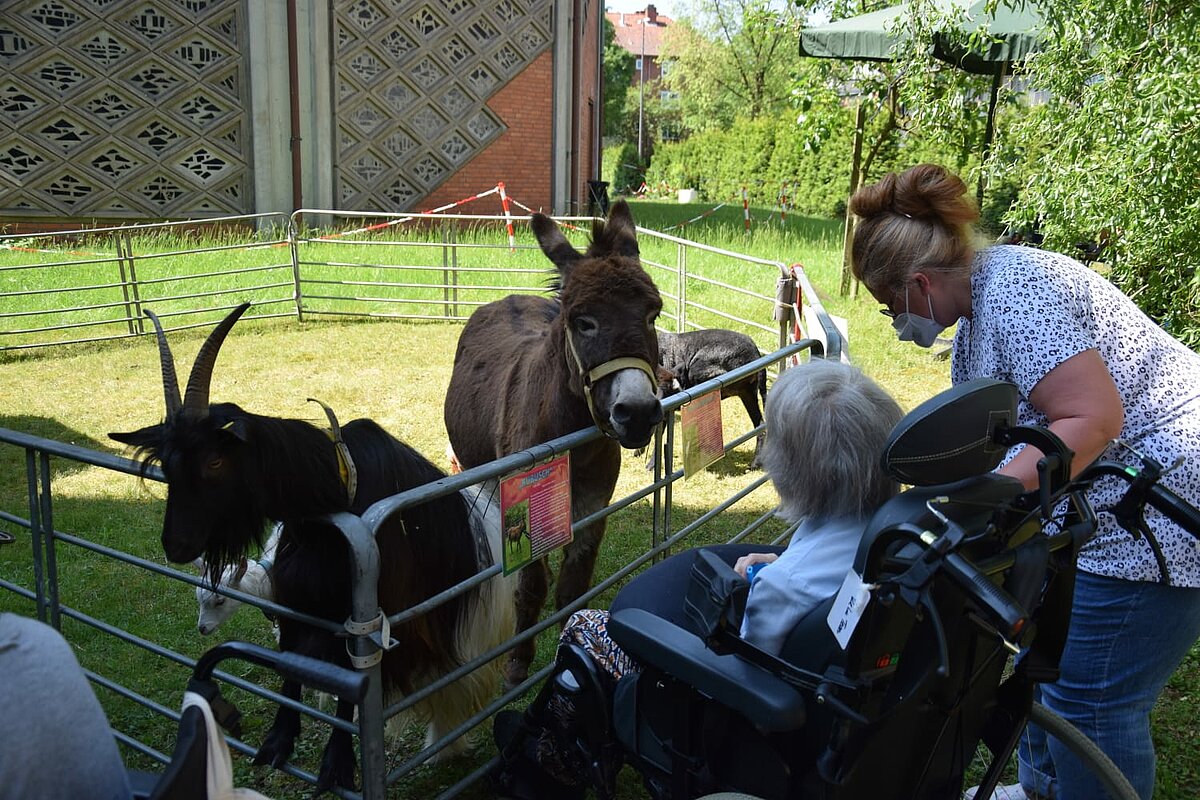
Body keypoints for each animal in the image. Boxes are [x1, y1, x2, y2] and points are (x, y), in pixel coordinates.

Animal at [113, 304, 520, 796]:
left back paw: (446, 745)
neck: (338, 490)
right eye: (167, 465)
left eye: (215, 460)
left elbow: (350, 686)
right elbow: (290, 665)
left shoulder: (360, 616)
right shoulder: (296, 601)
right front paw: (277, 741)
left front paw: (336, 765)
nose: (176, 545)